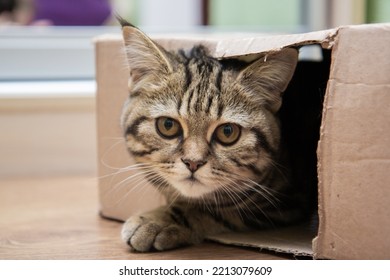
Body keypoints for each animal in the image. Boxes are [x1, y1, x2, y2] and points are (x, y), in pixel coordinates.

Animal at [119, 19, 310, 252]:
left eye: (228, 132)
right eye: (167, 125)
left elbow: (213, 208)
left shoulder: (286, 203)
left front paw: (159, 220)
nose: (193, 162)